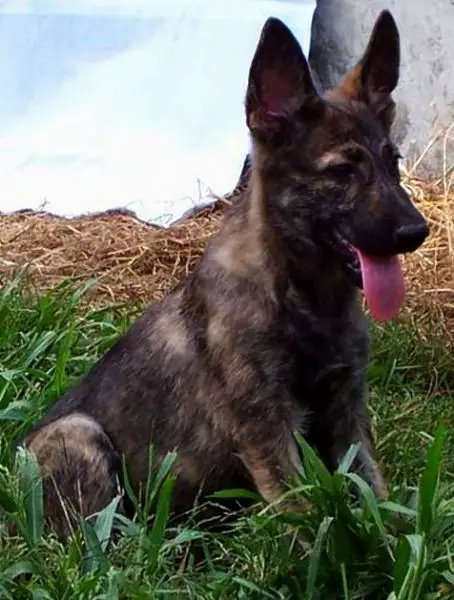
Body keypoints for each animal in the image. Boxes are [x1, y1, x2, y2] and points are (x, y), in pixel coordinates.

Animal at [18, 9, 430, 536]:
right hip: (79, 435)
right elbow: (305, 518)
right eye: (341, 172)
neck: (300, 293)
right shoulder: (267, 427)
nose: (416, 231)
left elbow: (378, 497)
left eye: (392, 162)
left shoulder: (347, 413)